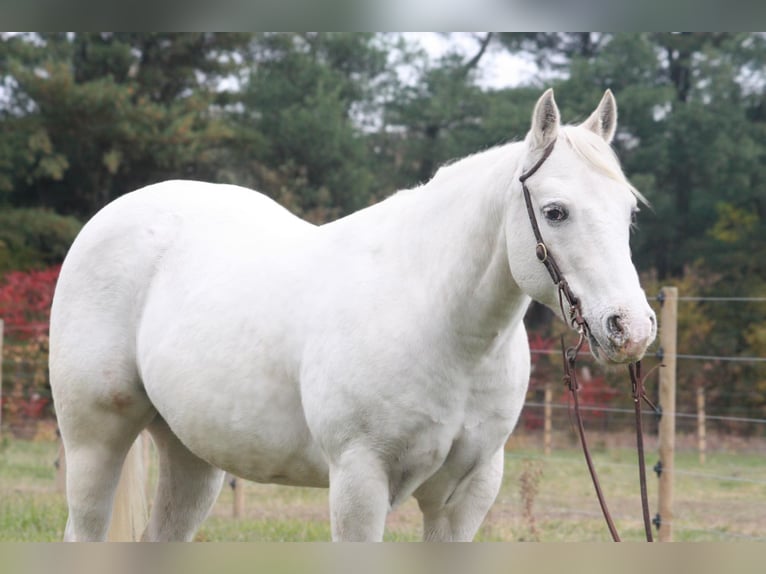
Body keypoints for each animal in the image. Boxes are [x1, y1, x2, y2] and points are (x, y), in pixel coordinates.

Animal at [49, 91, 660, 544]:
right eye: (555, 212)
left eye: (629, 211)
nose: (629, 328)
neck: (444, 328)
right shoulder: (360, 483)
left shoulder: (466, 496)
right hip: (94, 443)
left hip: (191, 456)